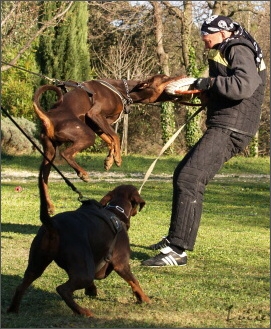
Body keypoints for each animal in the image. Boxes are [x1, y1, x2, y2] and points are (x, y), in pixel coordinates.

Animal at [6, 165, 150, 316]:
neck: (116, 212)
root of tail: (52, 224)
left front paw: (91, 290)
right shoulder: (121, 264)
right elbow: (134, 282)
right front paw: (145, 299)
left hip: (37, 264)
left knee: (20, 287)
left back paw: (13, 310)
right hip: (84, 272)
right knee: (62, 289)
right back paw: (83, 311)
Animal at [33, 73, 184, 213]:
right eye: (164, 77)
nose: (181, 76)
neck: (123, 90)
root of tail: (48, 118)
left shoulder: (96, 124)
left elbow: (109, 139)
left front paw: (109, 160)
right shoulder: (95, 114)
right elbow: (115, 136)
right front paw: (117, 158)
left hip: (50, 151)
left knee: (43, 180)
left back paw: (49, 206)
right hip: (86, 135)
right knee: (66, 153)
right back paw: (82, 174)